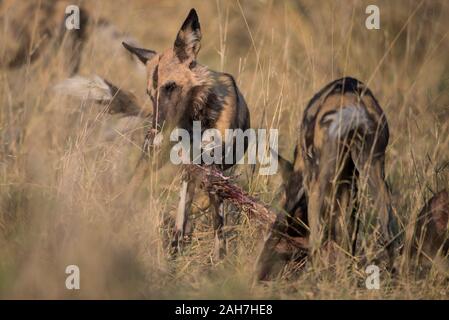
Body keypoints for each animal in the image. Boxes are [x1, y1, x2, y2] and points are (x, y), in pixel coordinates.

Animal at [121, 9, 250, 260]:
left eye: (170, 87)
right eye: (150, 94)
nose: (156, 129)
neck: (196, 119)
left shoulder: (214, 173)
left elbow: (217, 222)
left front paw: (220, 259)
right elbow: (192, 215)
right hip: (156, 162)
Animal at [256, 77, 400, 280]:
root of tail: (353, 102)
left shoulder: (297, 184)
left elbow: (276, 228)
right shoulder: (350, 189)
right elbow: (346, 238)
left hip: (318, 188)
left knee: (316, 242)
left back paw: (311, 279)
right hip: (375, 172)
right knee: (389, 231)